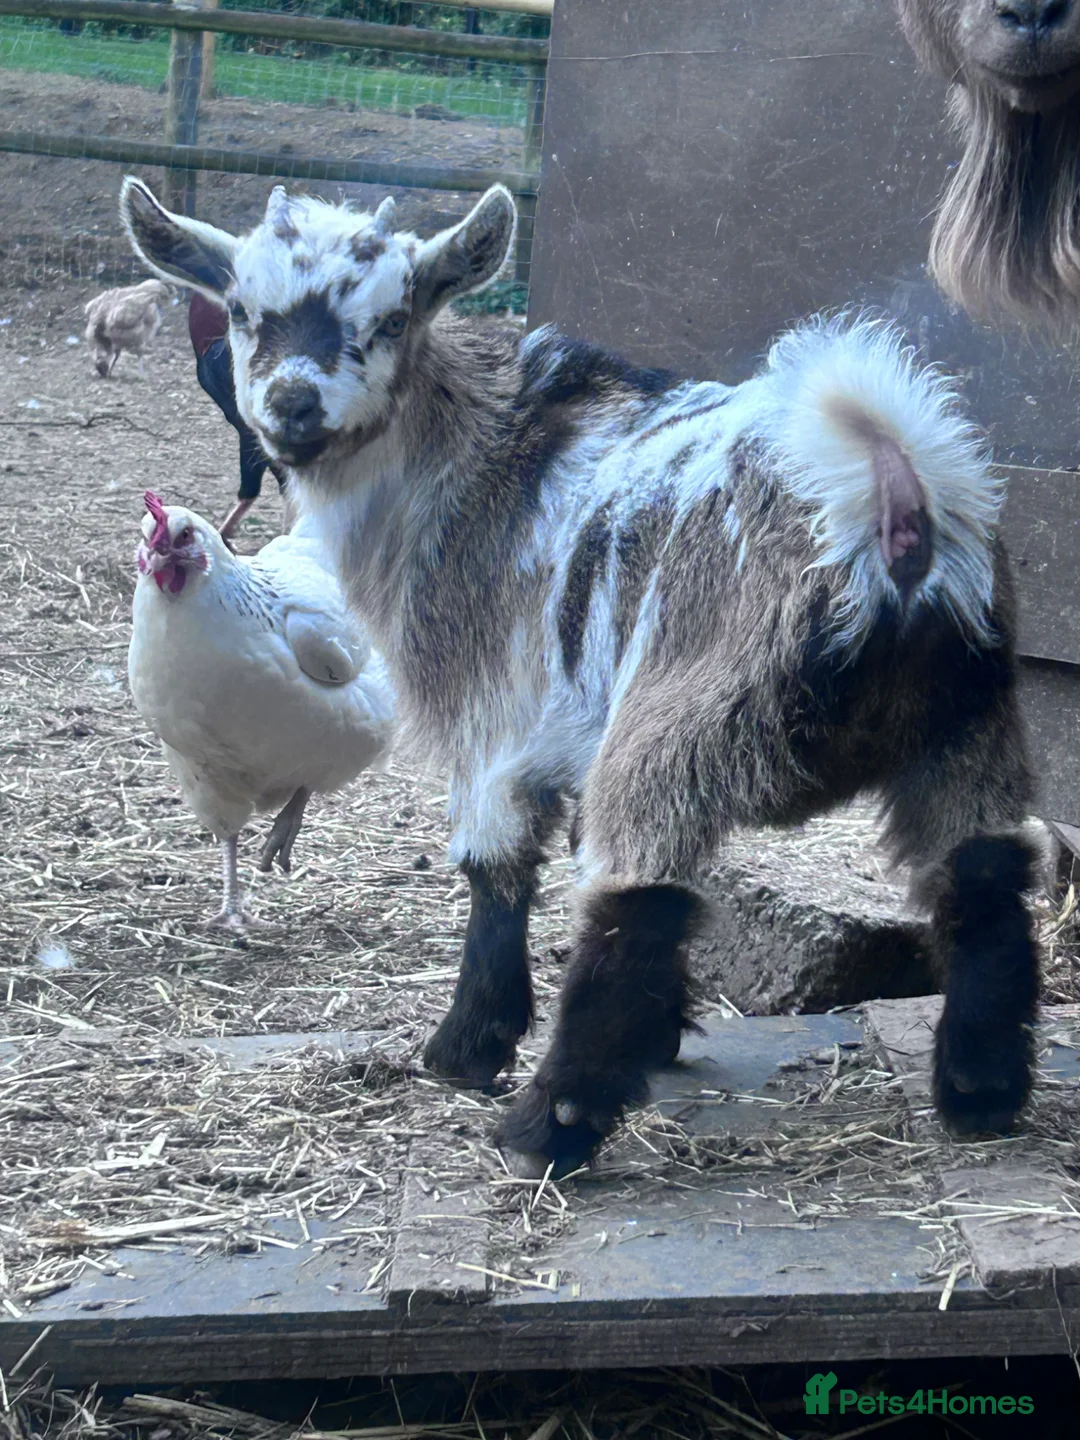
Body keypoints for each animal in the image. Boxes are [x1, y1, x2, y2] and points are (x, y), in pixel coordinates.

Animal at [120, 176, 1042, 1177]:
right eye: (241, 309)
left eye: (395, 316)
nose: (292, 403)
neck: (473, 458)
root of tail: (892, 503)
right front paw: (664, 1039)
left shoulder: (494, 713)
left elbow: (494, 871)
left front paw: (465, 1050)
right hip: (967, 718)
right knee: (983, 875)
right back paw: (982, 1095)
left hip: (676, 716)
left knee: (635, 902)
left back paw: (546, 1129)